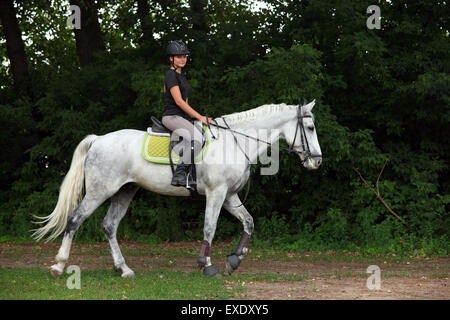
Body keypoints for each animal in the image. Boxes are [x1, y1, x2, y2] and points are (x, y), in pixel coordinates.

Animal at [31, 100, 322, 278]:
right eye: (309, 127)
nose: (317, 162)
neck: (235, 142)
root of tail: (98, 140)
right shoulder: (216, 194)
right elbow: (209, 228)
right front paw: (206, 266)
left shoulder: (230, 196)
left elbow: (249, 222)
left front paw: (235, 260)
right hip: (98, 192)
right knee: (74, 220)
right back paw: (59, 266)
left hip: (125, 191)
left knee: (109, 226)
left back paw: (124, 269)